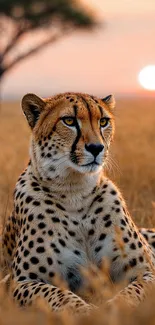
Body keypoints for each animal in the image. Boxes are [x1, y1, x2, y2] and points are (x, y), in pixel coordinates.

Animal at [2, 92, 155, 314]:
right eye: (69, 121)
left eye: (103, 121)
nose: (96, 148)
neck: (75, 192)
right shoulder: (21, 282)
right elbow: (57, 295)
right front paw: (86, 312)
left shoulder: (146, 269)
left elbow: (132, 293)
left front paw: (111, 309)